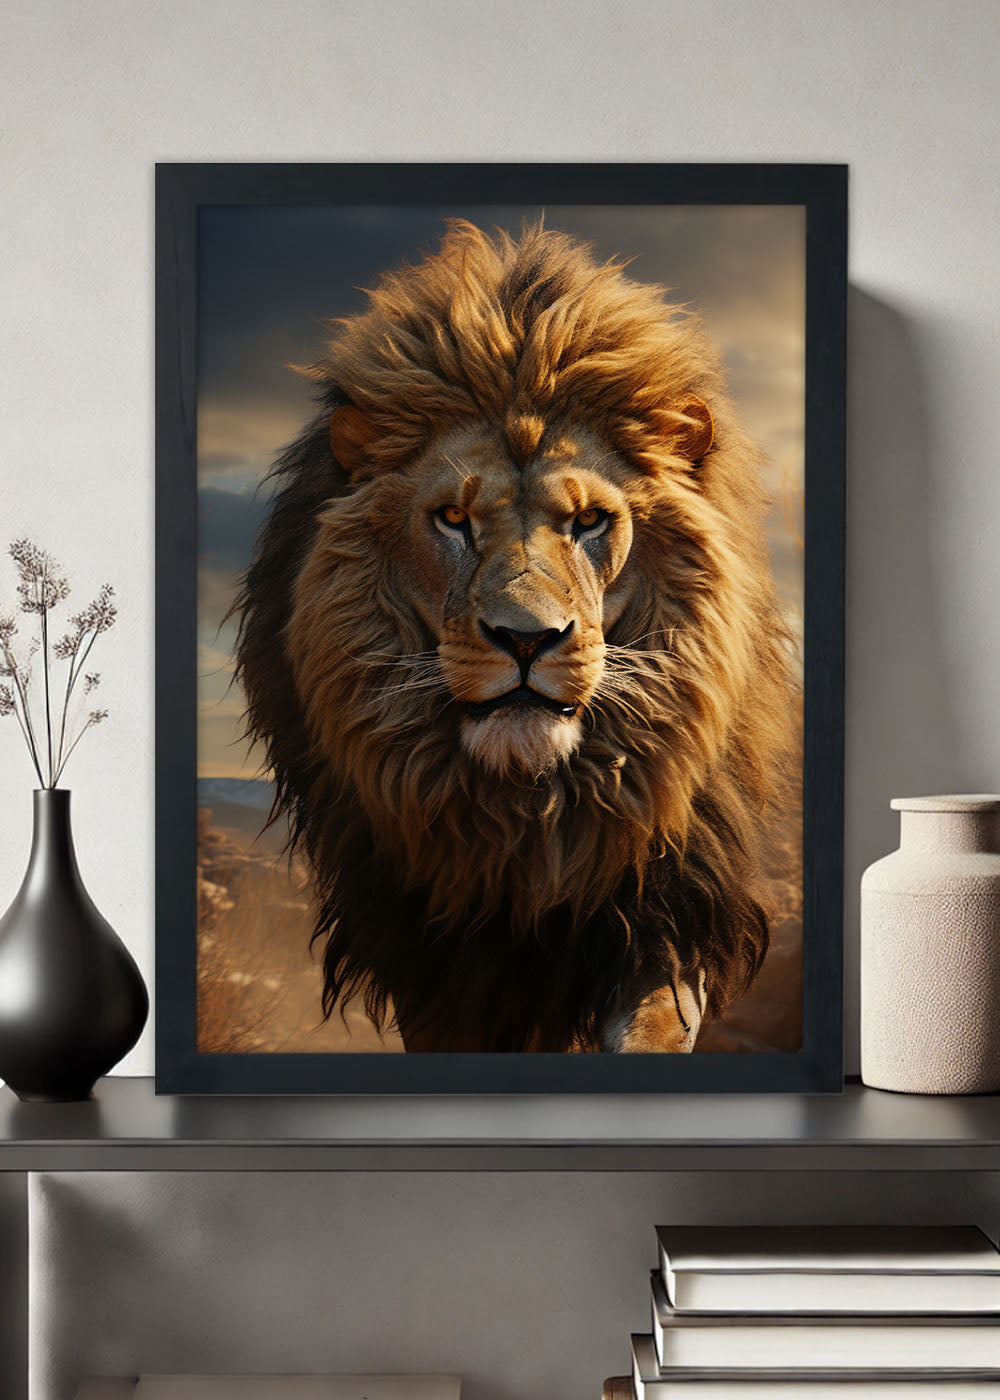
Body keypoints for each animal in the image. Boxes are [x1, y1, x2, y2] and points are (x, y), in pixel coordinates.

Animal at [234, 220, 795, 1053]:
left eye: (590, 520)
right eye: (454, 519)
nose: (527, 640)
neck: (528, 822)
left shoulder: (666, 914)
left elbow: (653, 1030)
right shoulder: (437, 968)